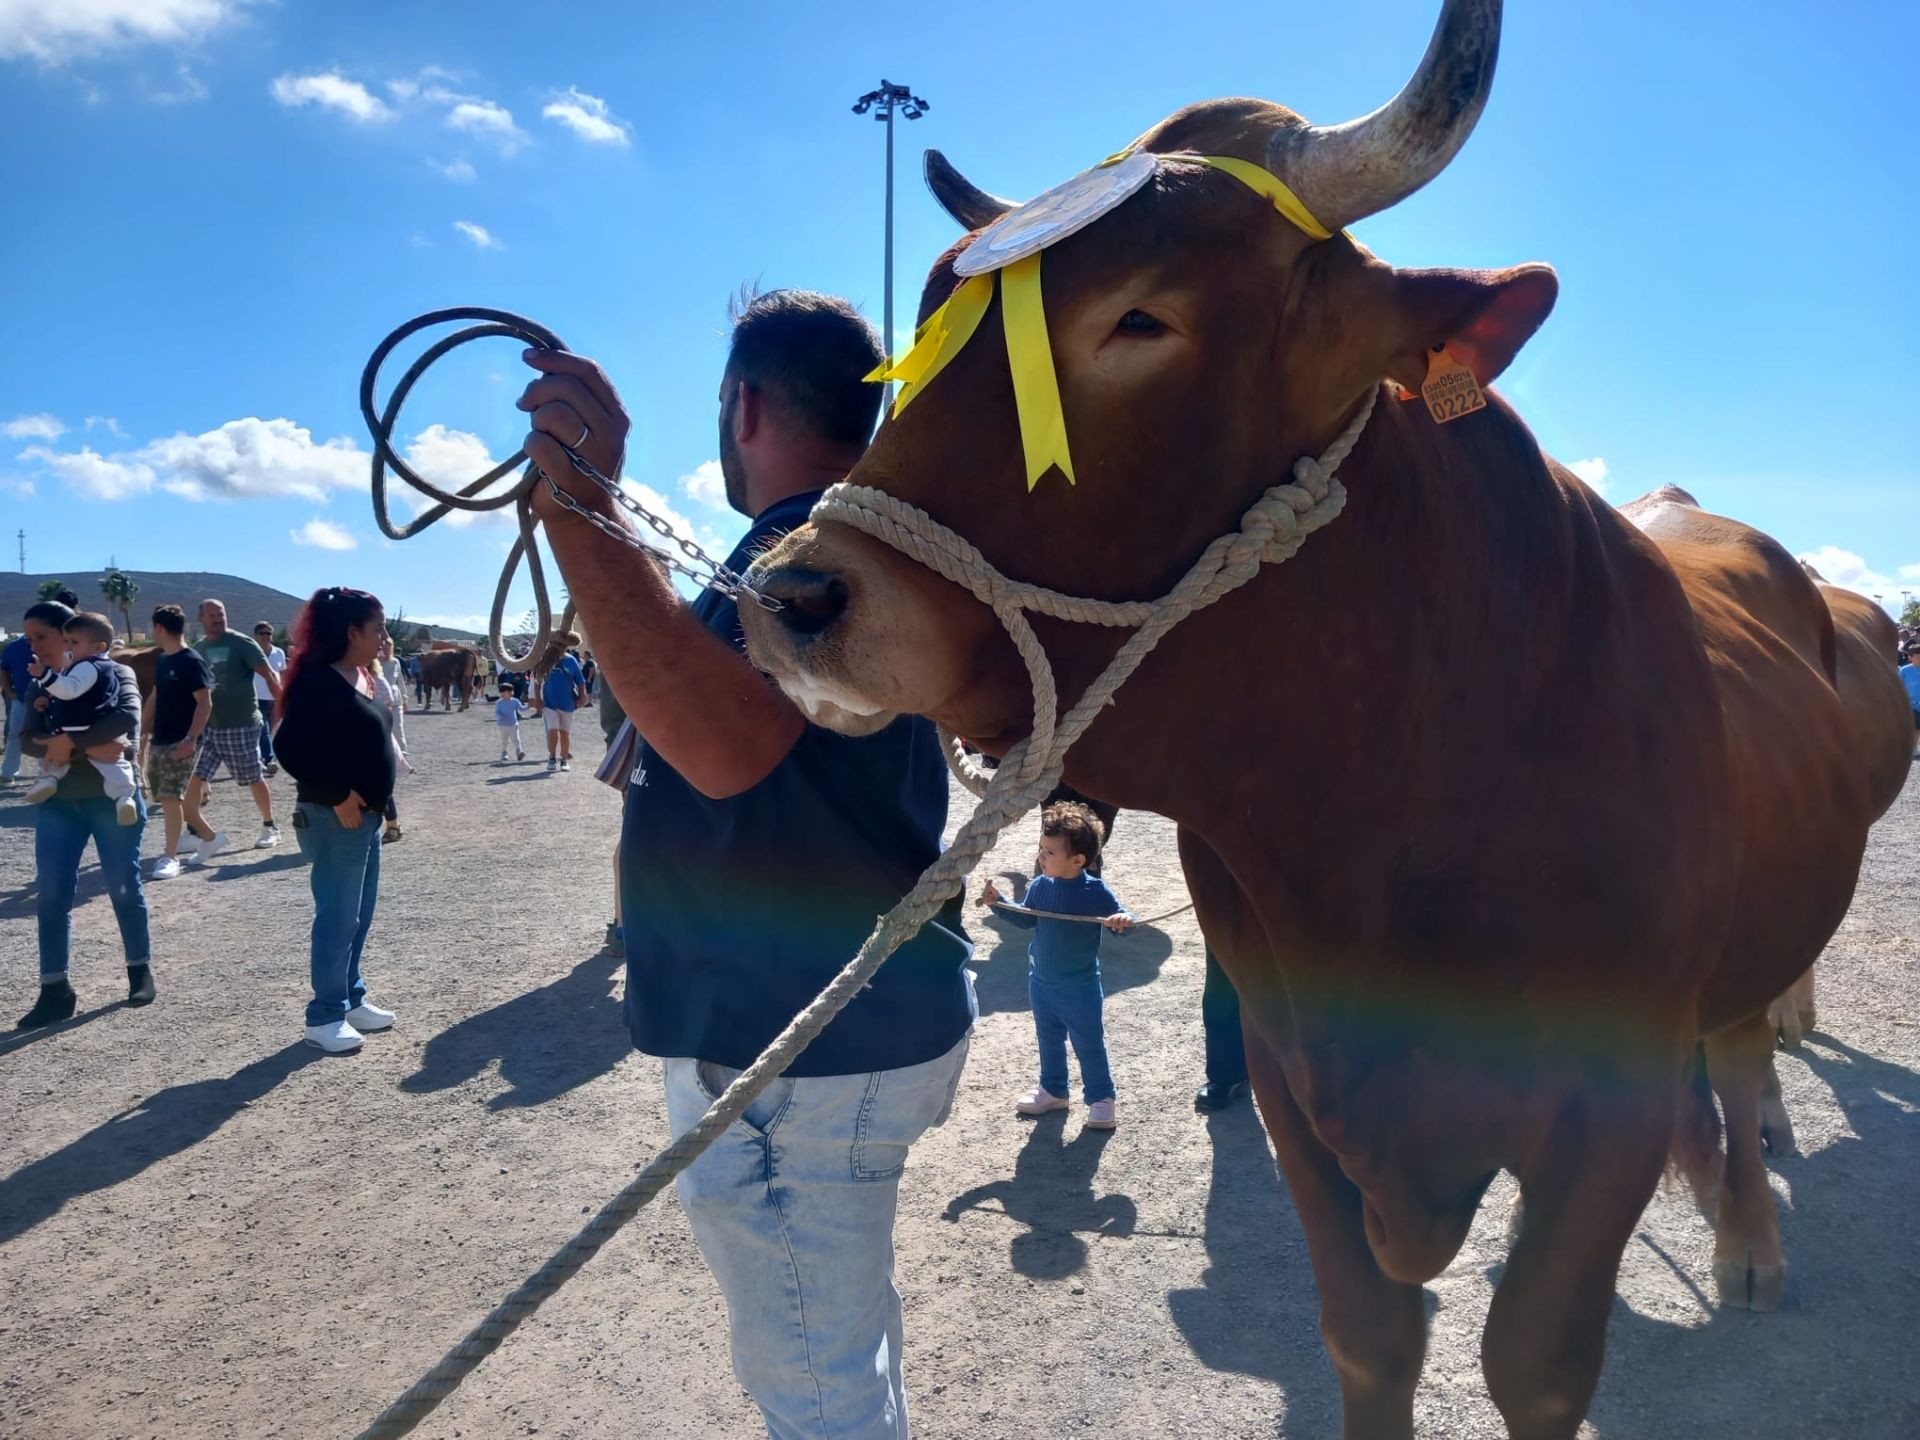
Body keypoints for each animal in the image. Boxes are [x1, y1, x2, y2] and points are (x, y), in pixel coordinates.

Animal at [737, 5, 1889, 1436]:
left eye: (1142, 316)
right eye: (937, 313)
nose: (794, 596)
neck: (1402, 814)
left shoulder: (1604, 1110)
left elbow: (1538, 1360)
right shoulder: (1296, 1083)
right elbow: (1370, 1336)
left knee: (1737, 1059)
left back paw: (1749, 1246)